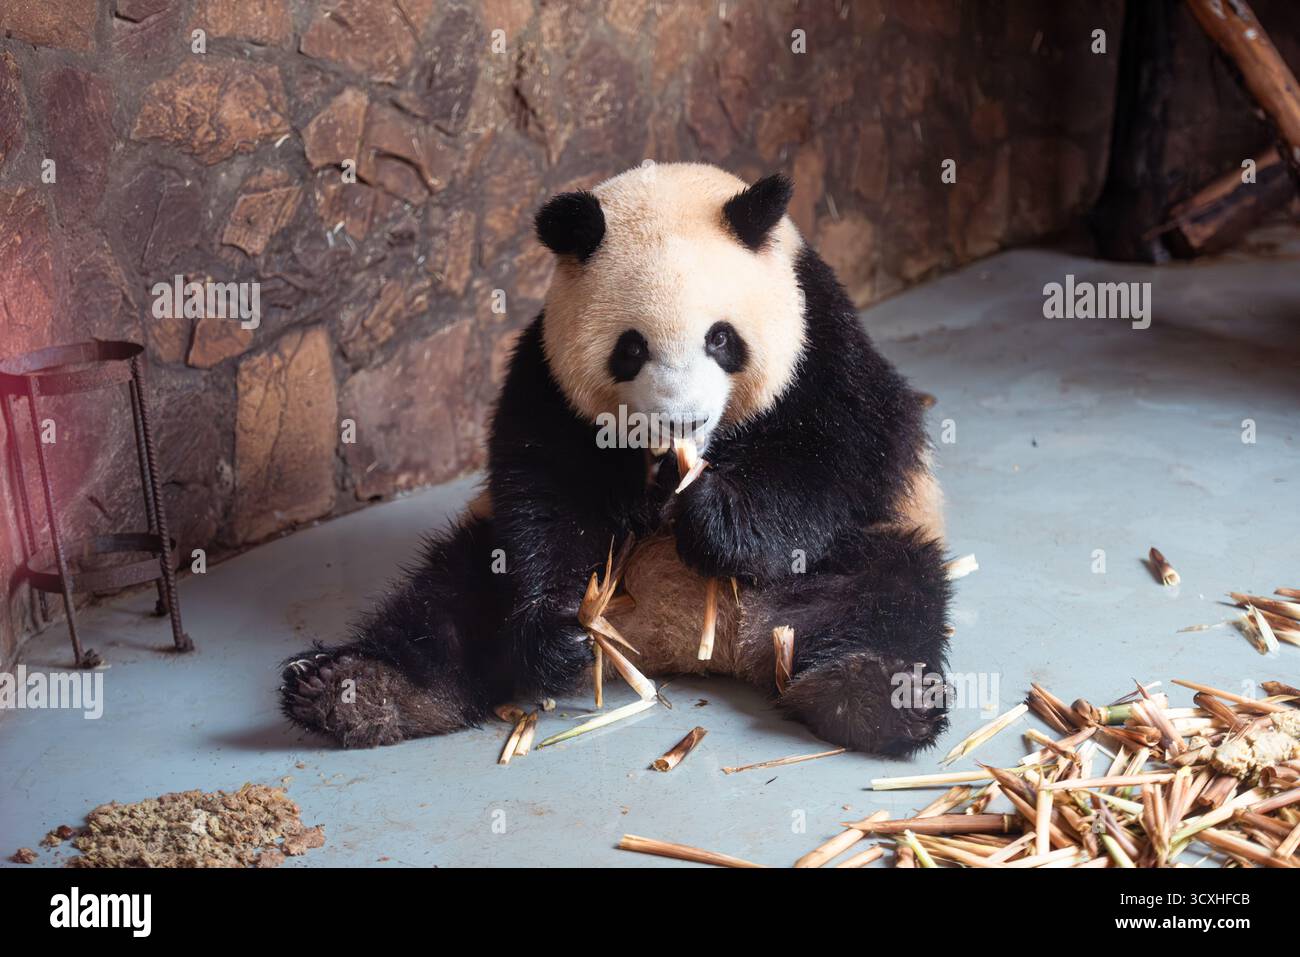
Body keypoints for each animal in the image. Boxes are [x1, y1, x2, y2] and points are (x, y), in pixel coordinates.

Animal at [280, 162, 950, 756]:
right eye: (631, 349)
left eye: (721, 338)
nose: (681, 420)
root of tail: (683, 645)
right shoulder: (546, 373)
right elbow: (547, 490)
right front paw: (566, 629)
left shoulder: (819, 334)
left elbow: (849, 446)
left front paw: (712, 518)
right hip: (485, 549)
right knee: (453, 598)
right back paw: (358, 692)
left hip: (858, 552)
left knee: (886, 597)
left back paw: (870, 698)